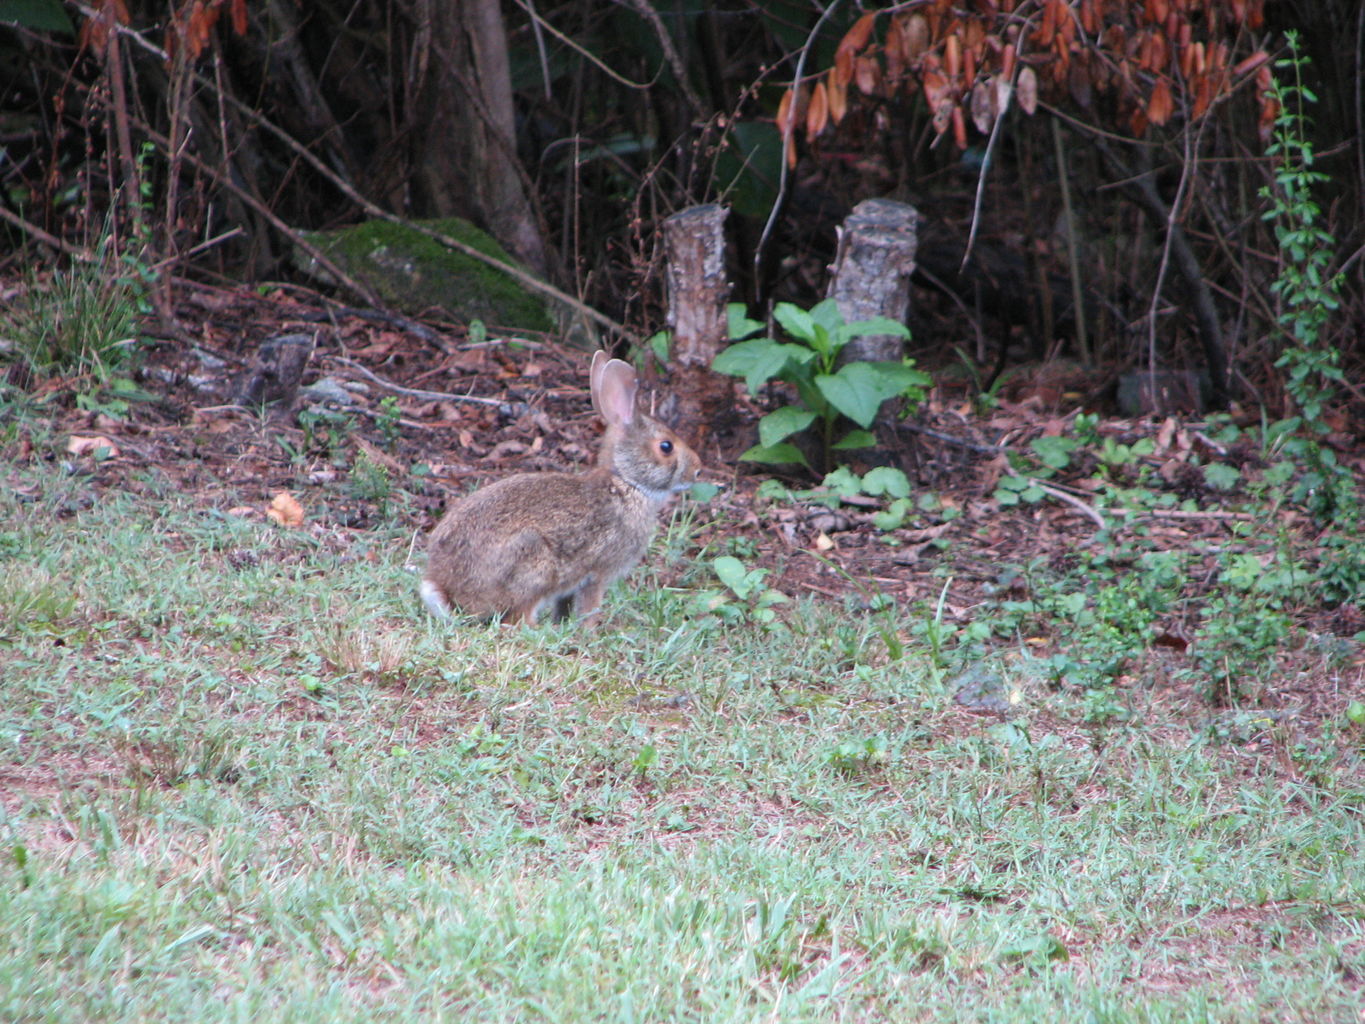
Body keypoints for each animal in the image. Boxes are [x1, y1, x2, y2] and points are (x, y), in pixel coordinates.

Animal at [417, 352, 704, 625]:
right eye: (666, 446)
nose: (697, 470)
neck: (626, 482)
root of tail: (448, 593)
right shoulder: (596, 574)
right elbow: (589, 608)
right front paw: (589, 634)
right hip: (533, 565)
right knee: (516, 619)